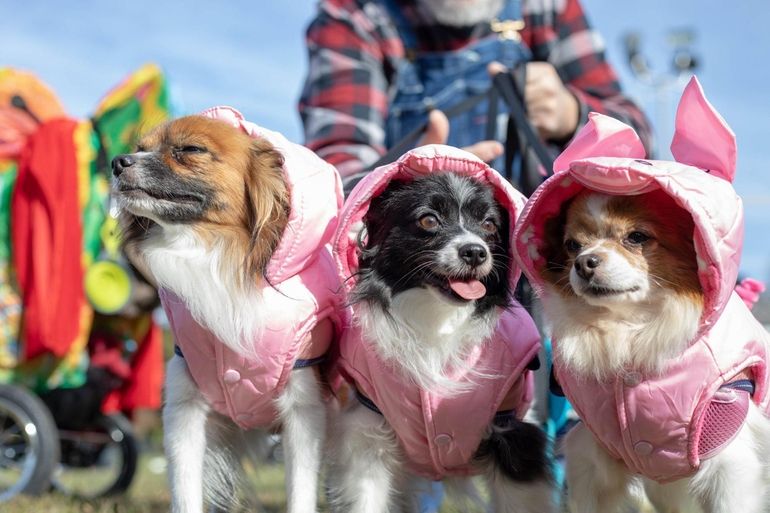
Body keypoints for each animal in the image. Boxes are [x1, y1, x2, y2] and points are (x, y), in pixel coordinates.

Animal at [328, 144, 552, 512]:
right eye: (428, 220)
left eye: (489, 224)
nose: (475, 251)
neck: (438, 316)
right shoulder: (369, 433)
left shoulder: (515, 434)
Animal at [512, 77, 768, 512]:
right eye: (572, 245)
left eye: (636, 237)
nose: (585, 263)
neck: (629, 334)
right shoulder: (591, 457)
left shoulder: (730, 464)